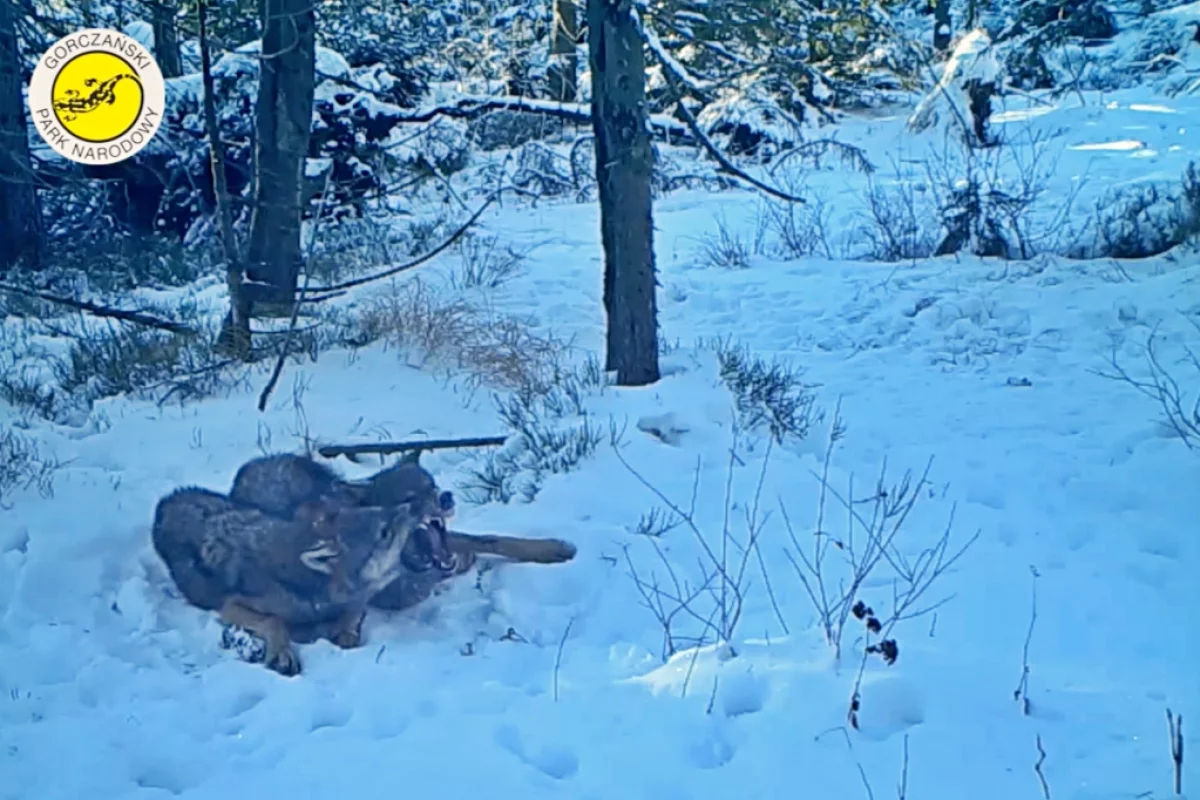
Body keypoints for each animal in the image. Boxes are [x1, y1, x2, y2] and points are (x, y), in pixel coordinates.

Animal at [150, 489, 432, 676]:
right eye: (384, 532)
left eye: (386, 510)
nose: (419, 502)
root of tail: (169, 499)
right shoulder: (231, 606)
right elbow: (275, 621)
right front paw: (282, 654)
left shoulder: (355, 603)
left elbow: (351, 618)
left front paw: (344, 633)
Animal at [230, 453, 580, 609]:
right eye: (410, 497)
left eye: (432, 485)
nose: (446, 497)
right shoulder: (399, 591)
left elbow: (494, 539)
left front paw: (553, 548)